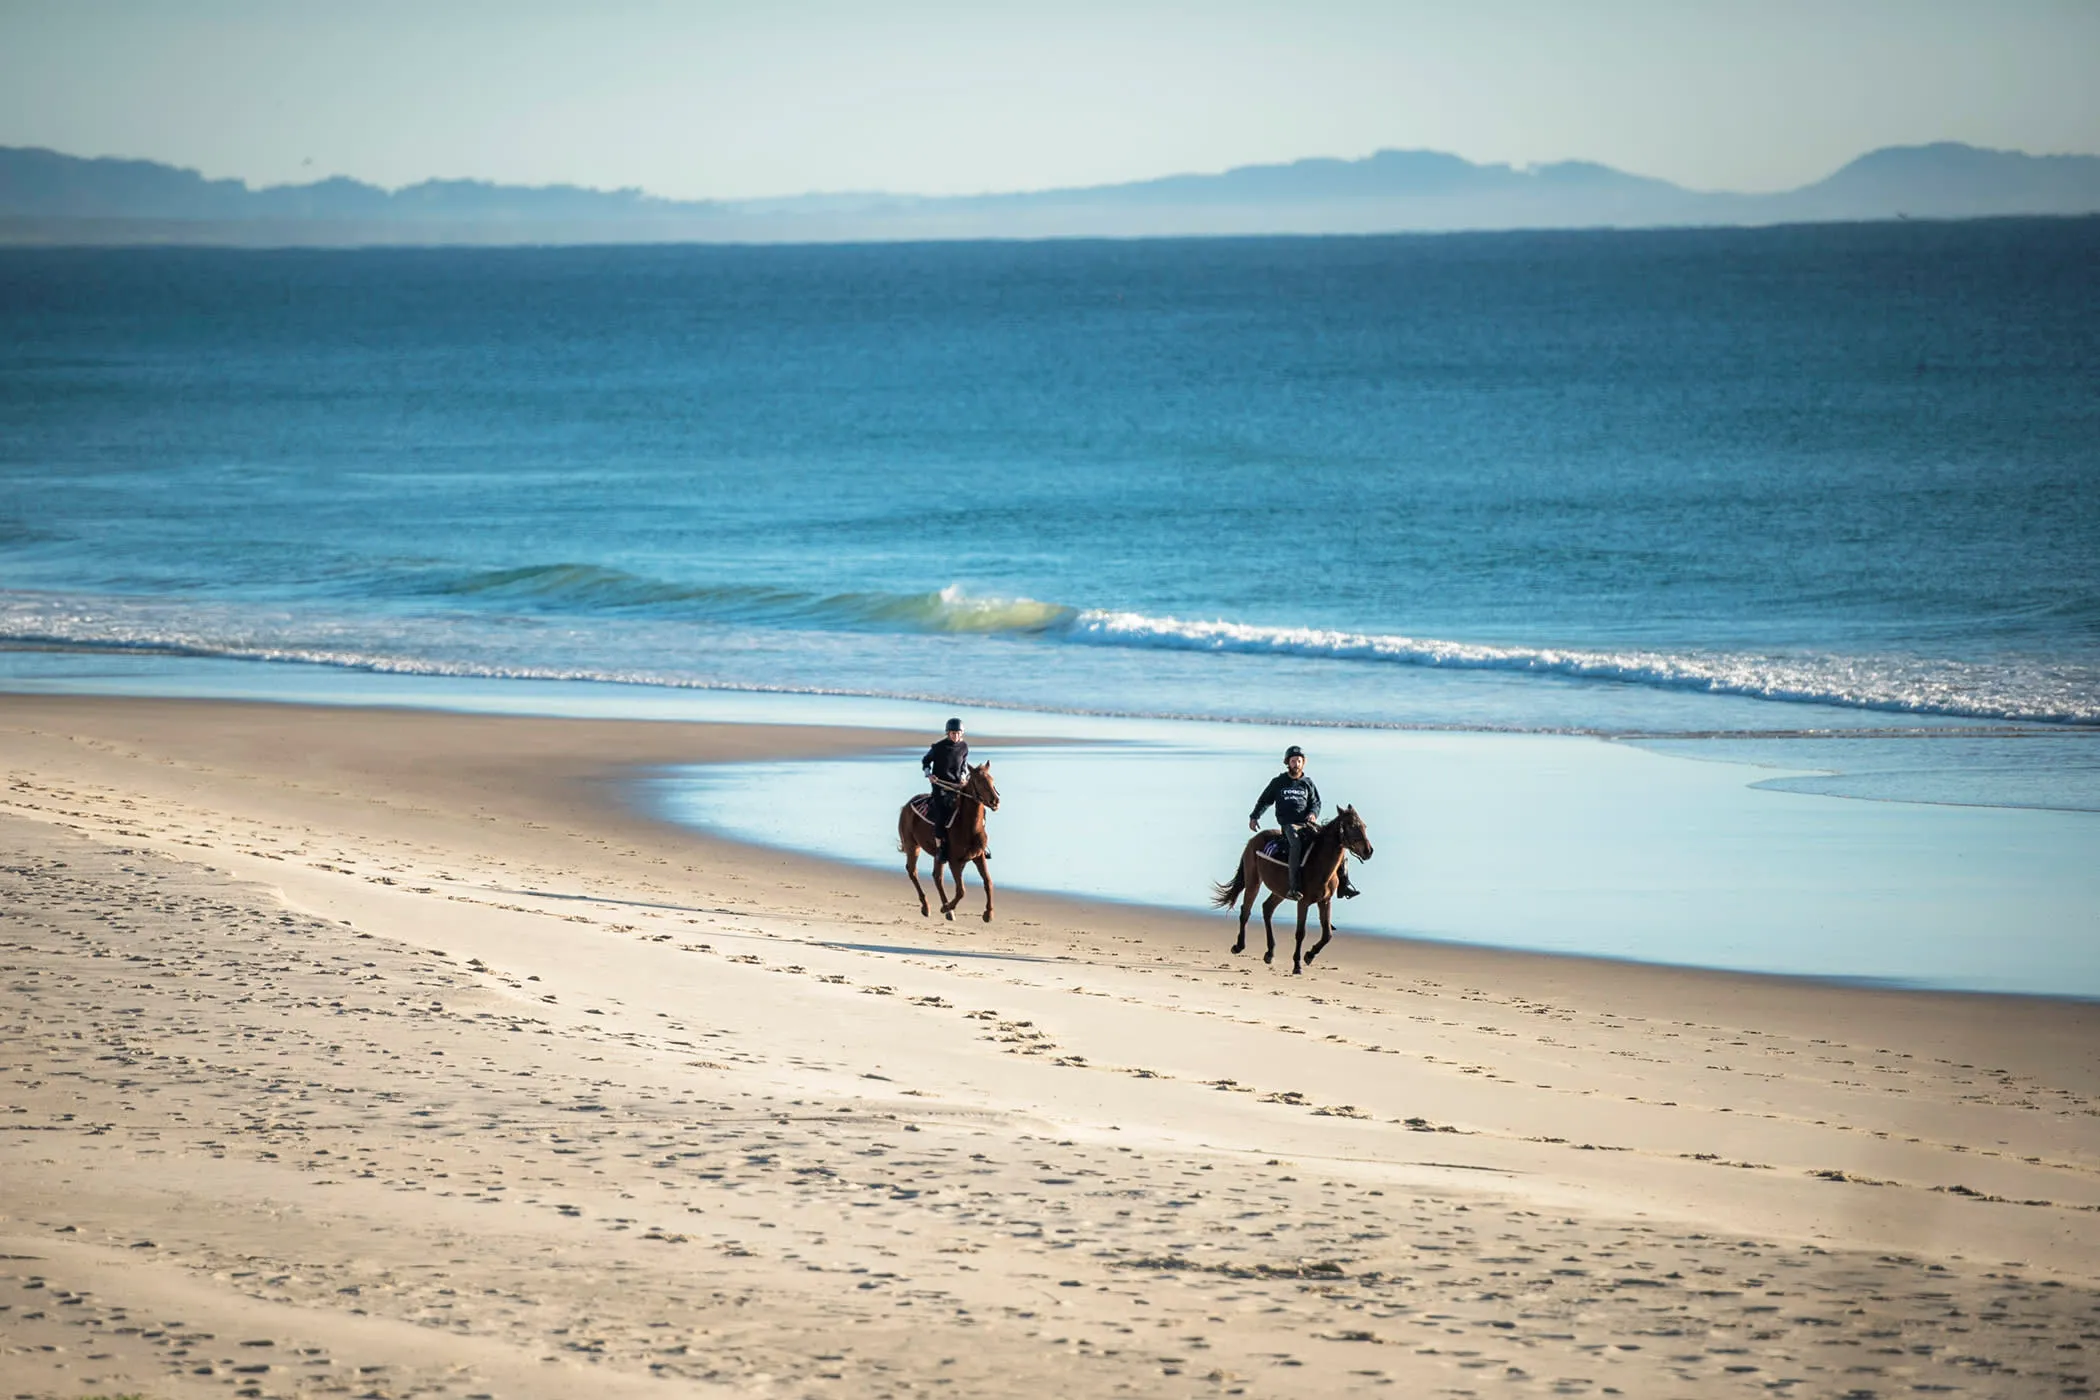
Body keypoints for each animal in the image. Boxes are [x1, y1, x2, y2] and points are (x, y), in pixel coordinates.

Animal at [897, 761, 1001, 923]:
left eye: (992, 779)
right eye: (978, 781)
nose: (995, 801)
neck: (967, 825)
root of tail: (907, 805)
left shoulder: (978, 857)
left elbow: (988, 882)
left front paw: (988, 913)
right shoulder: (955, 862)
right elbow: (961, 891)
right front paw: (946, 907)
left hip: (937, 855)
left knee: (937, 877)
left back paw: (947, 910)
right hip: (912, 845)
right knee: (913, 871)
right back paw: (927, 907)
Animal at [1210, 805, 1374, 974]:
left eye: (1364, 826)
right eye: (1352, 826)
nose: (1368, 851)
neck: (1319, 863)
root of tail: (1253, 840)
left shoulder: (1325, 901)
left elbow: (1327, 934)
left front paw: (1309, 955)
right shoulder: (1303, 902)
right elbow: (1300, 933)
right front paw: (1297, 965)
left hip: (1279, 891)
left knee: (1267, 908)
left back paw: (1270, 953)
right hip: (1253, 881)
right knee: (1246, 911)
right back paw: (1239, 946)